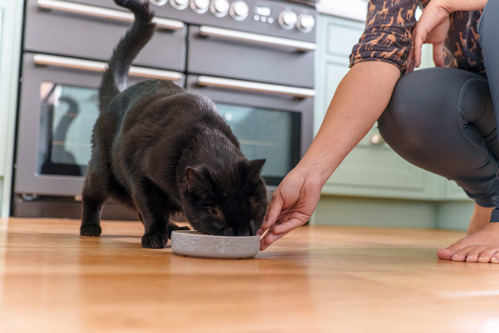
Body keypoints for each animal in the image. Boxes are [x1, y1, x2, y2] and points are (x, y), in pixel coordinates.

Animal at [81, 0, 270, 246]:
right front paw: (154, 236)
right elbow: (152, 208)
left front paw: (162, 231)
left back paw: (171, 228)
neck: (205, 134)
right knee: (92, 196)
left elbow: (149, 209)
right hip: (103, 170)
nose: (242, 234)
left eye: (253, 212)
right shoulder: (141, 177)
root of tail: (118, 94)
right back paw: (90, 226)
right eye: (218, 216)